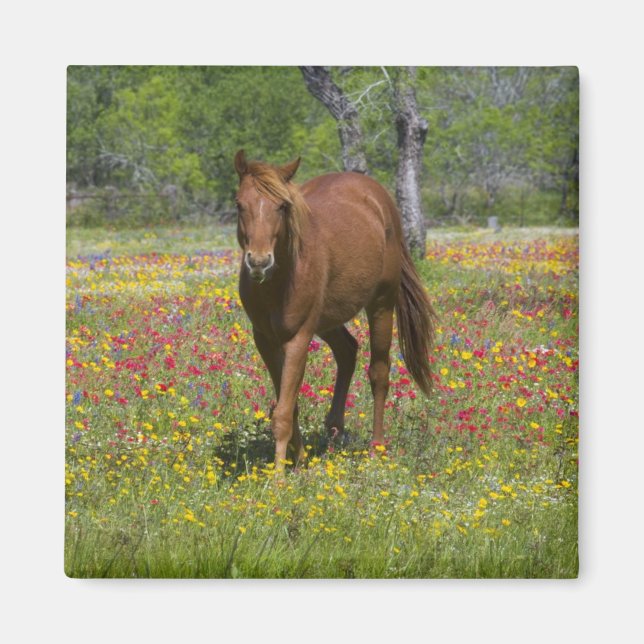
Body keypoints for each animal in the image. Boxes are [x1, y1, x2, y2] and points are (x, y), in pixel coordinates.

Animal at [233, 150, 436, 469]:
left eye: (282, 206)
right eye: (239, 204)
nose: (259, 262)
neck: (279, 281)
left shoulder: (298, 339)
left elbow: (282, 413)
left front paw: (278, 476)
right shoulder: (265, 340)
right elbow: (288, 405)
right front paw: (299, 460)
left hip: (381, 305)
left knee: (379, 372)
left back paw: (376, 448)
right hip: (328, 321)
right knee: (347, 351)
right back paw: (334, 427)